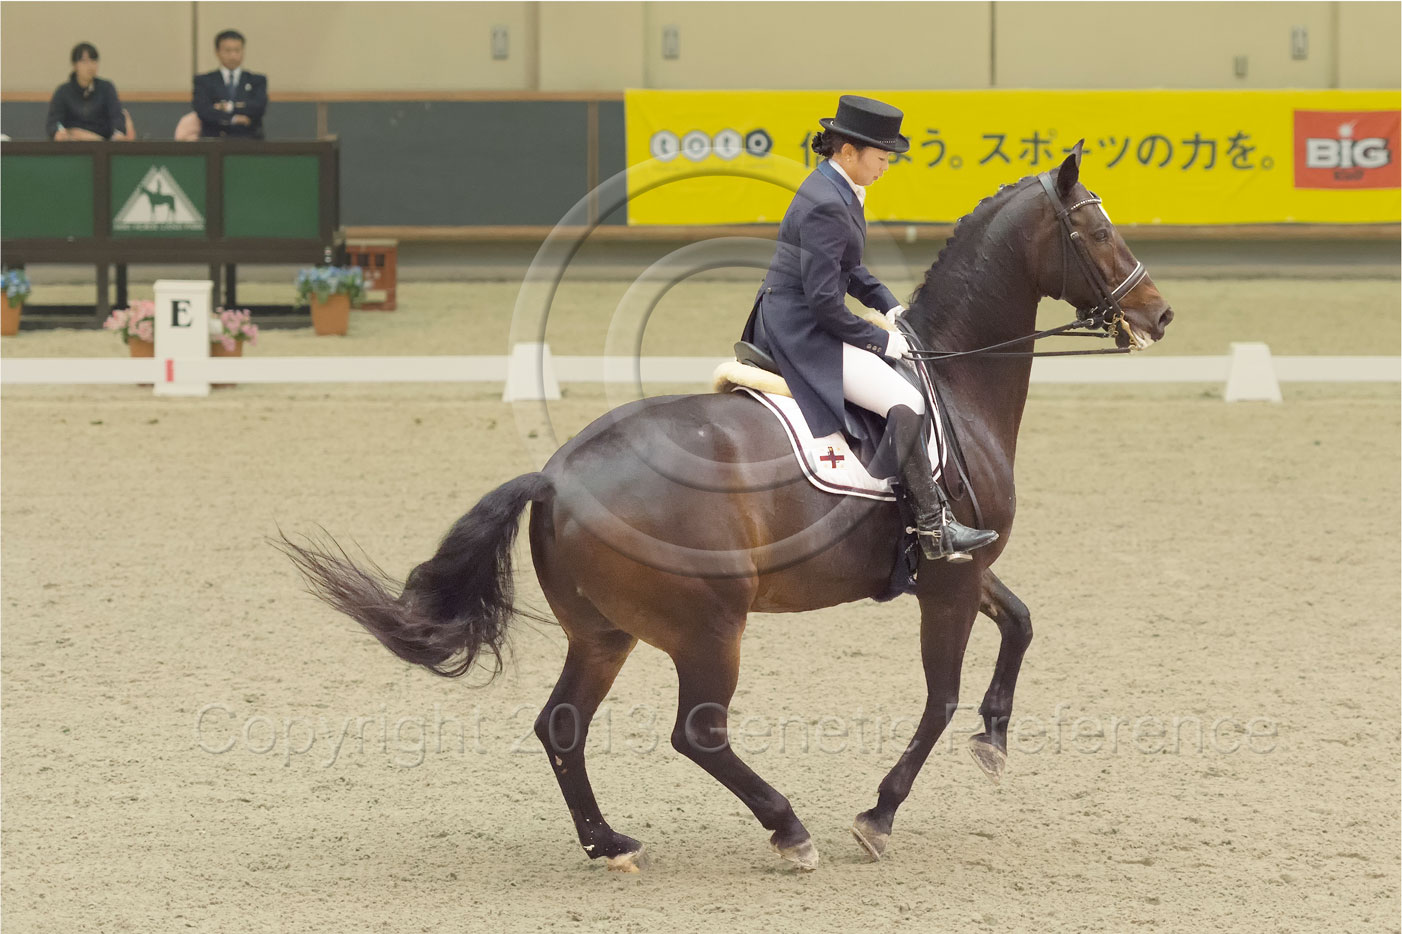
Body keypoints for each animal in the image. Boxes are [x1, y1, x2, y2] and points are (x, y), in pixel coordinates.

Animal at [276, 143, 1172, 863]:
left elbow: (1020, 623)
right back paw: (788, 830)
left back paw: (609, 844)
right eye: (1096, 232)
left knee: (562, 724)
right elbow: (939, 699)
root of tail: (557, 476)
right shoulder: (948, 578)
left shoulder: (961, 560)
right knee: (698, 733)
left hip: (603, 632)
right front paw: (878, 816)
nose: (1158, 313)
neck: (955, 383)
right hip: (709, 626)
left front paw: (995, 739)